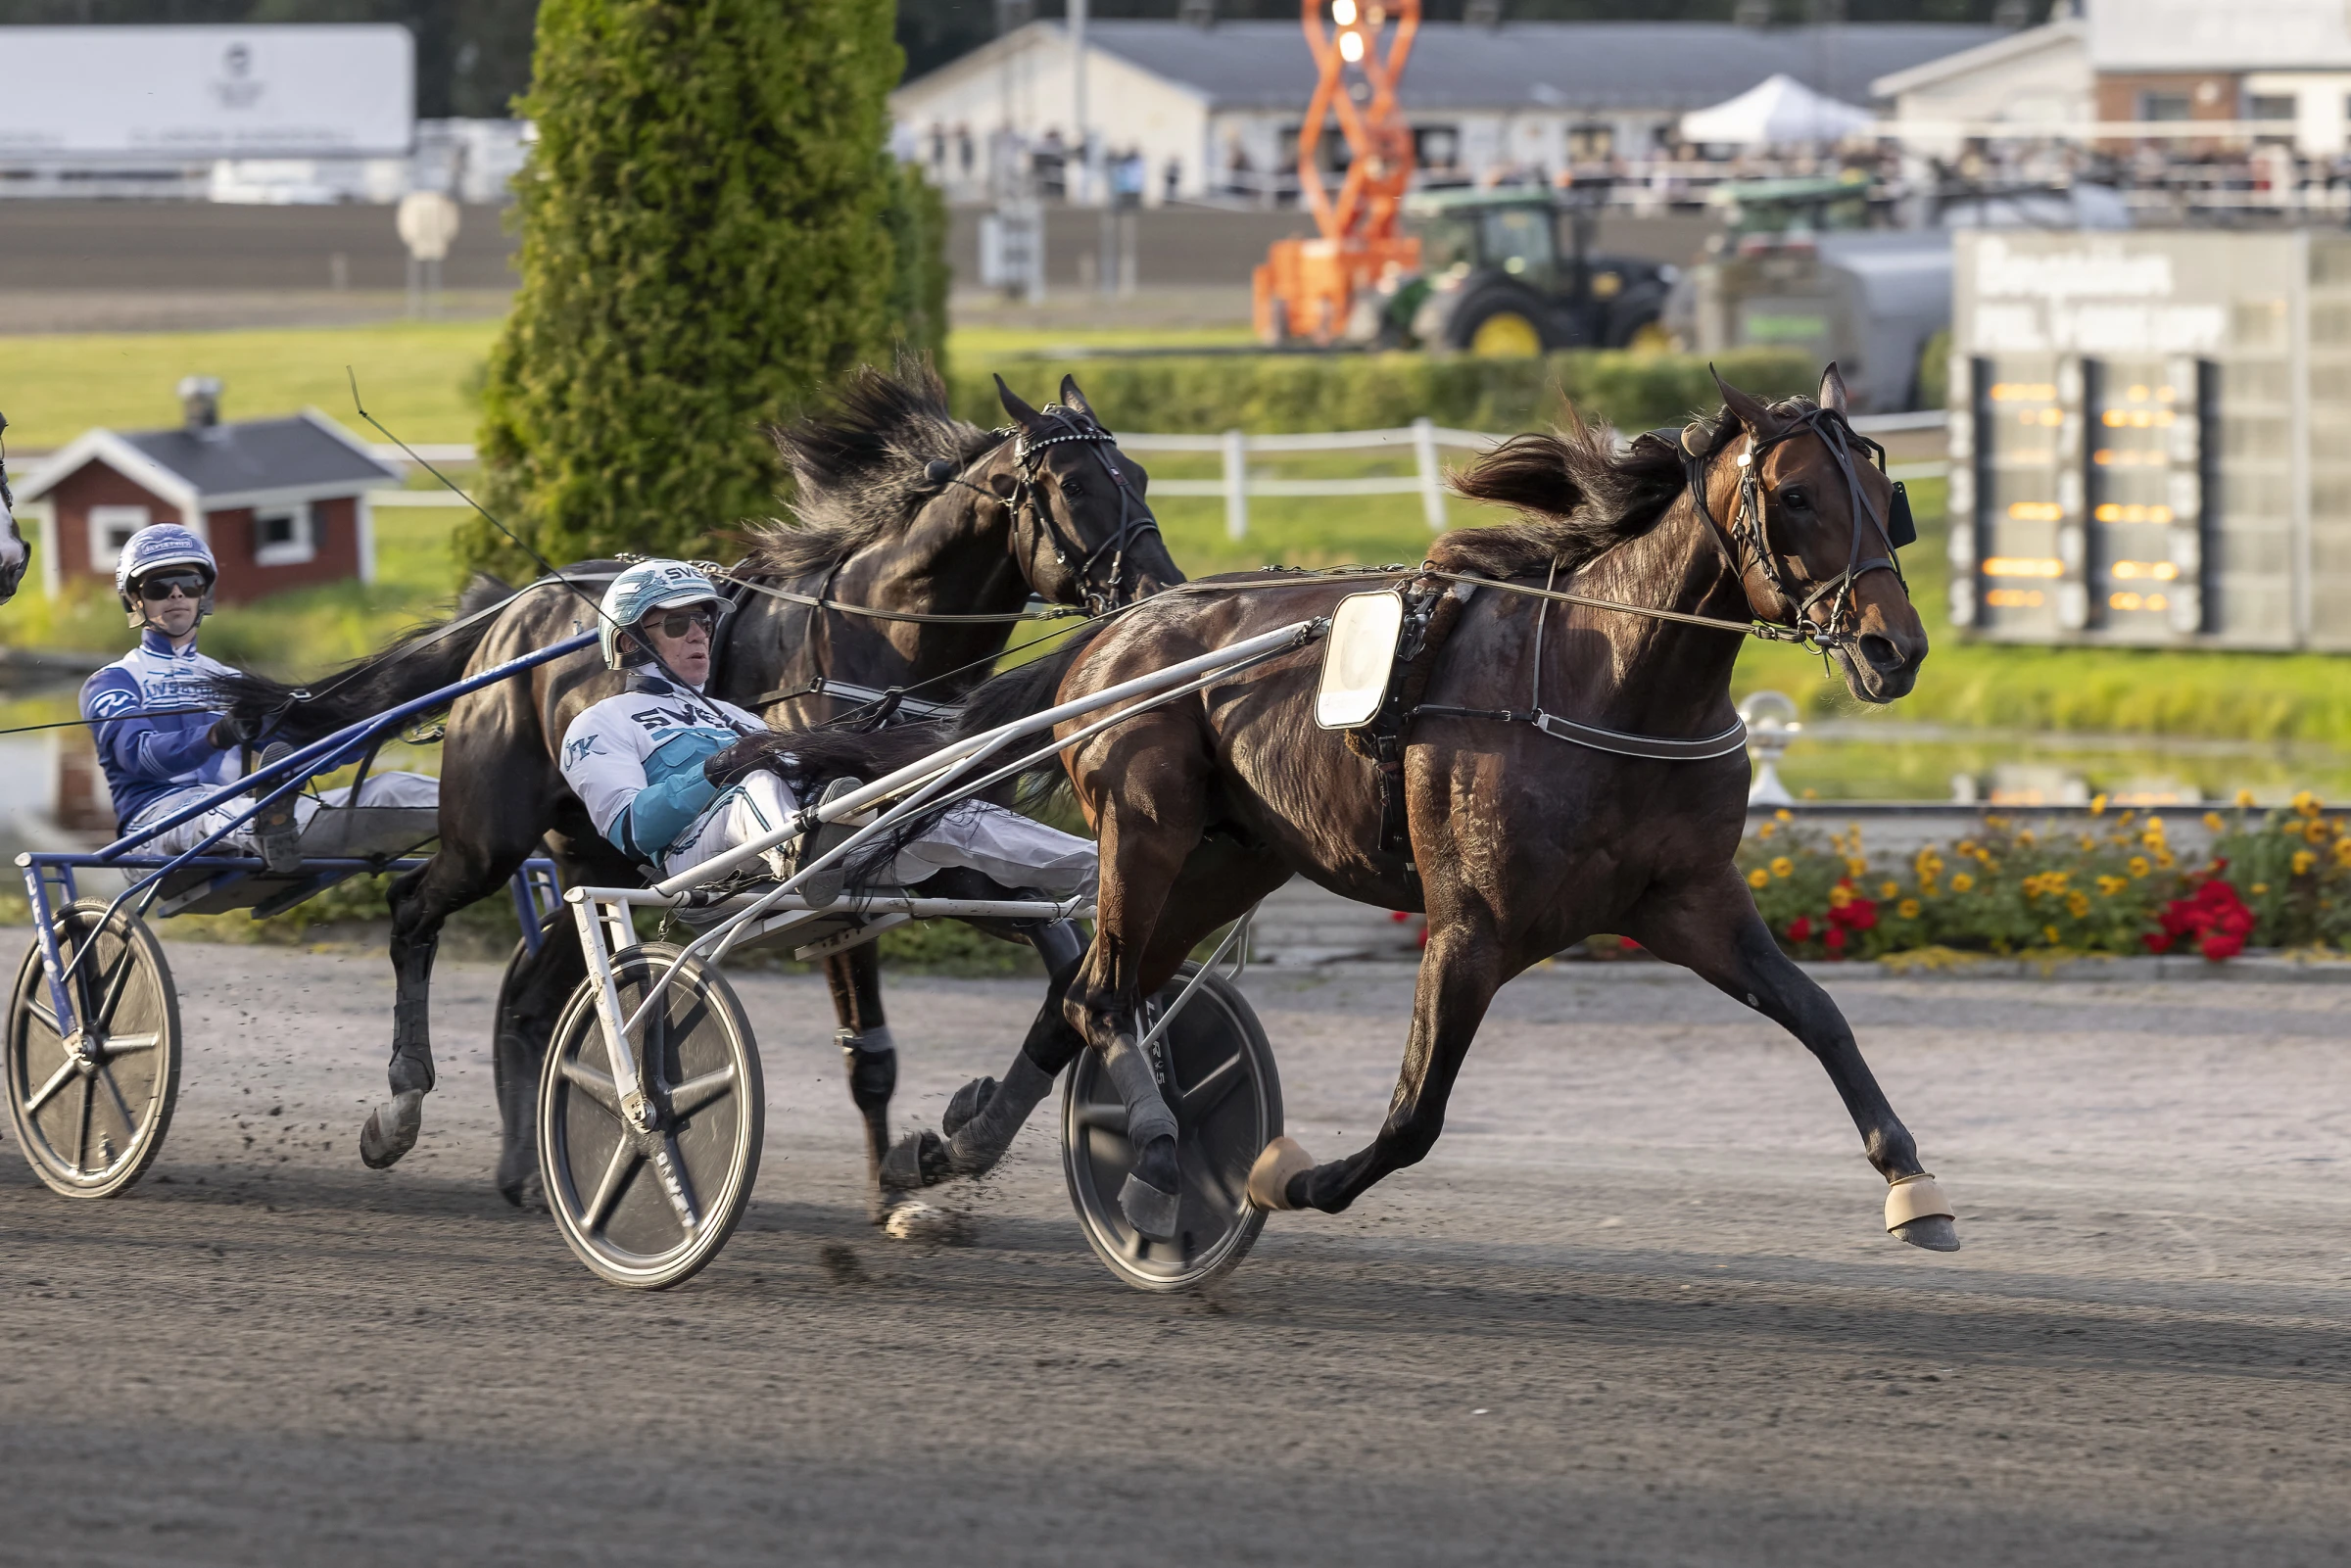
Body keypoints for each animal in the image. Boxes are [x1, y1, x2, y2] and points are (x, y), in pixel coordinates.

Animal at [216, 364, 1176, 1212]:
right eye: (1075, 485)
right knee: (414, 908)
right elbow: (871, 1054)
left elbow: (1065, 959)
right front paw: (891, 1190)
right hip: (489, 834)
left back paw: (529, 1163)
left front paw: (998, 1128)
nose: (1162, 591)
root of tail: (510, 616)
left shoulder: (943, 861)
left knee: (533, 992)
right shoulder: (845, 882)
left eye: (1136, 474)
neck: (885, 646)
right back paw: (402, 1105)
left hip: (602, 858)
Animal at [874, 364, 1955, 1250]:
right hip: (1146, 828)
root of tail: (1123, 624)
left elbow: (1820, 1015)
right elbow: (1414, 1115)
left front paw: (1912, 1181)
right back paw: (1150, 1160)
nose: (1896, 648)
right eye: (1796, 494)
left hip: (1228, 853)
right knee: (1101, 993)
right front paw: (1284, 1174)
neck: (1607, 677)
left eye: (1886, 497)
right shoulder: (1471, 923)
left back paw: (954, 1145)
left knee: (1085, 991)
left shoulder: (1687, 897)